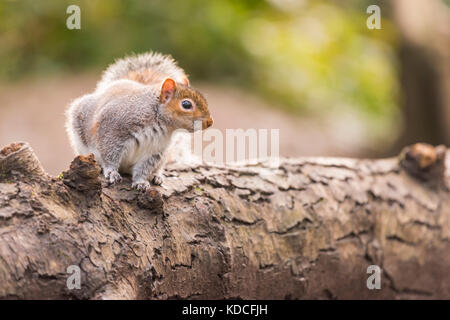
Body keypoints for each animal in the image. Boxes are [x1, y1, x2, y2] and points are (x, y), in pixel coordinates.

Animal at [65, 52, 213, 191]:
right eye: (186, 104)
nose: (210, 122)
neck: (160, 123)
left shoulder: (155, 151)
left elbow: (143, 169)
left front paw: (140, 182)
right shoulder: (112, 129)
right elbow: (109, 154)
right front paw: (112, 172)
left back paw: (157, 176)